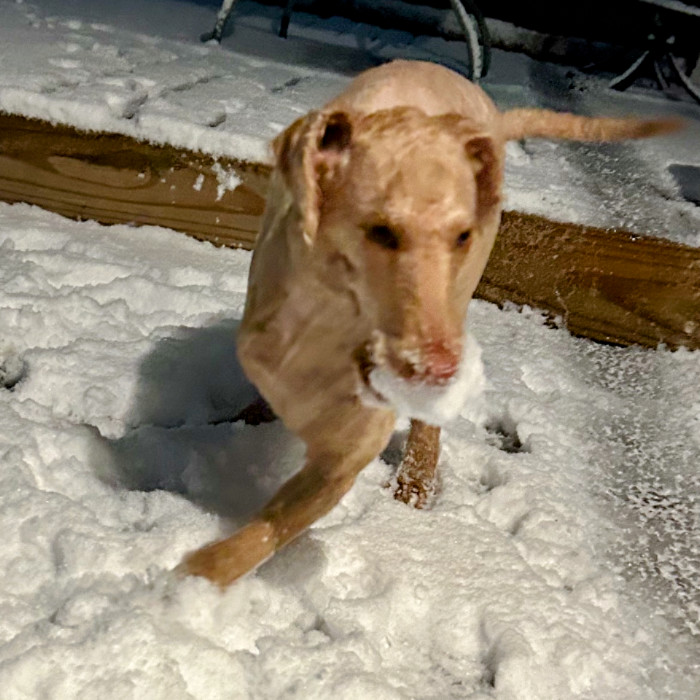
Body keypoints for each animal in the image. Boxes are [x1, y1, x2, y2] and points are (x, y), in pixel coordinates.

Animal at [180, 58, 680, 584]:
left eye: (462, 235)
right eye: (381, 231)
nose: (440, 366)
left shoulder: (348, 449)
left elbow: (275, 523)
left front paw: (184, 586)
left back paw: (414, 487)